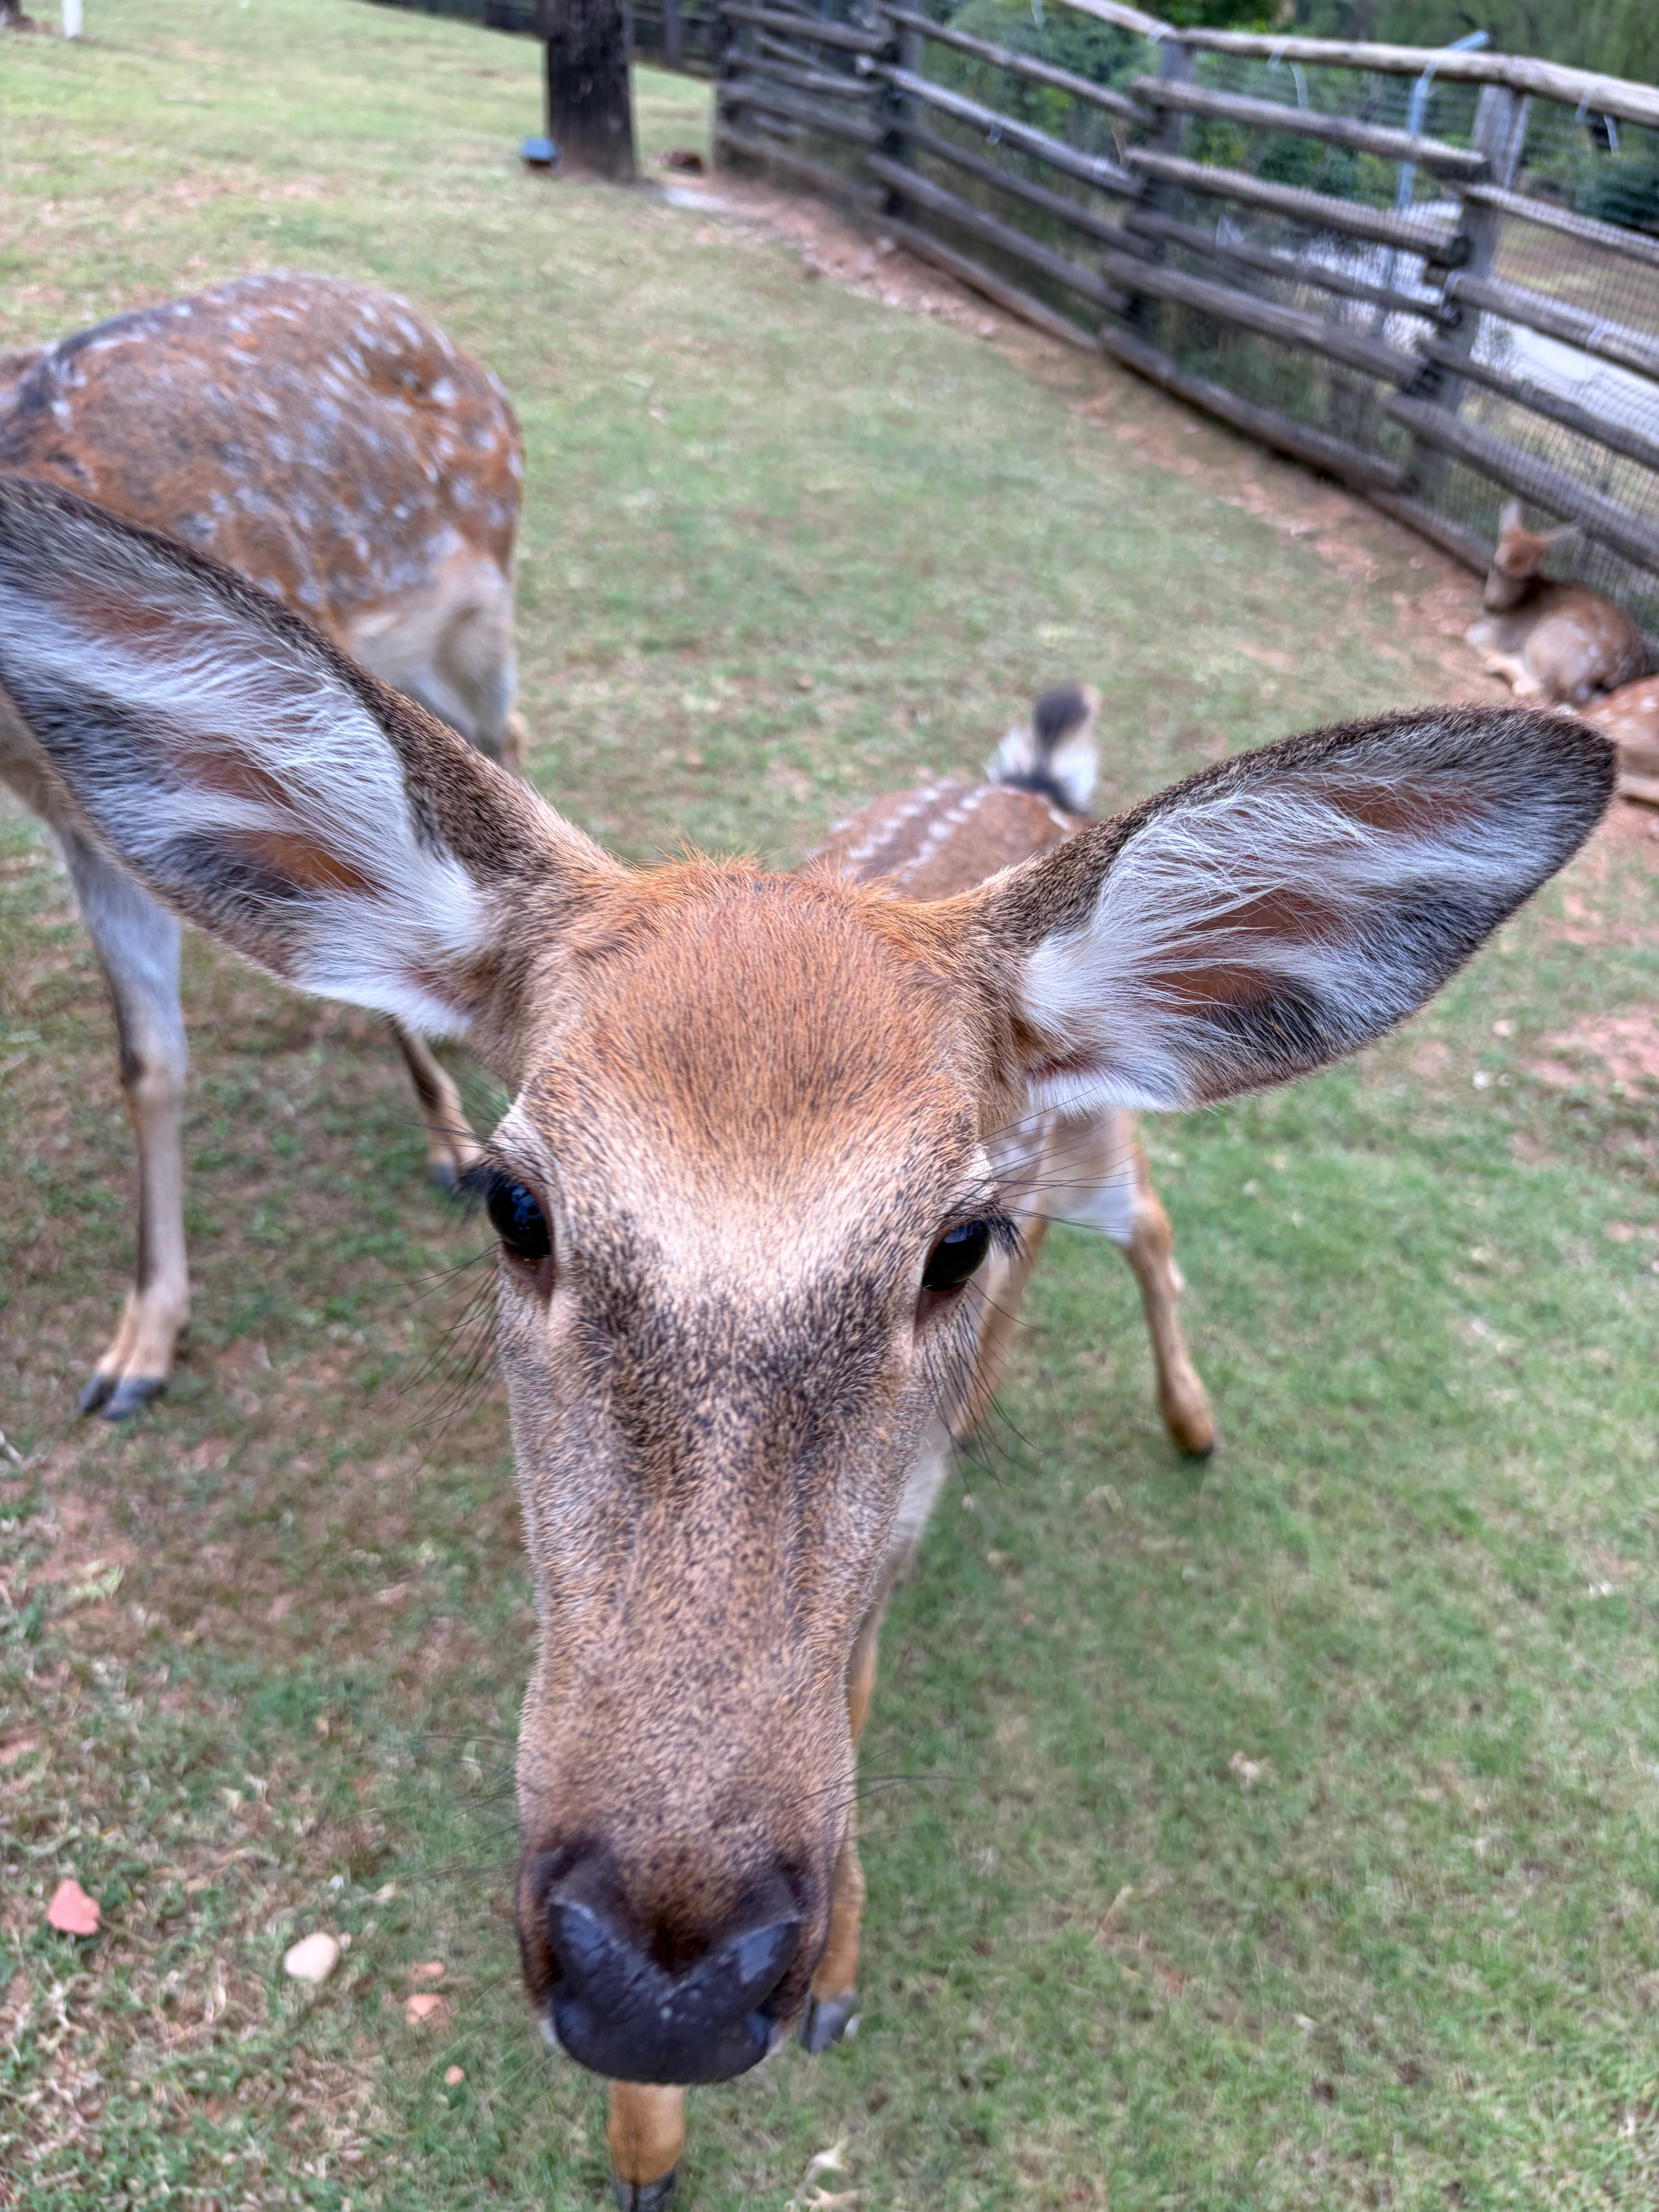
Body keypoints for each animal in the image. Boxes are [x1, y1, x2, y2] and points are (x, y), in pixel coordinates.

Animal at [0, 272, 527, 1417]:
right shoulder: (87, 822)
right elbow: (148, 1062)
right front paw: (137, 1349)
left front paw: (463, 1141)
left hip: (479, 611)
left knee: (510, 740)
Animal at [0, 477, 1614, 2209]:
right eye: (513, 1201)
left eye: (952, 1241)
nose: (667, 1985)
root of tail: (1018, 790)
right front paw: (647, 2142)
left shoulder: (901, 1517)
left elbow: (853, 1682)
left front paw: (834, 1982)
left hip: (1100, 1138)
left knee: (1160, 1220)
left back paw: (1191, 1425)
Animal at [1467, 498, 1647, 708]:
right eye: (1496, 564)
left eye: (1527, 576)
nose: (1492, 606)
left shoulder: (1506, 635)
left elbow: (1473, 635)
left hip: (1549, 640)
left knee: (1541, 692)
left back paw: (1494, 661)